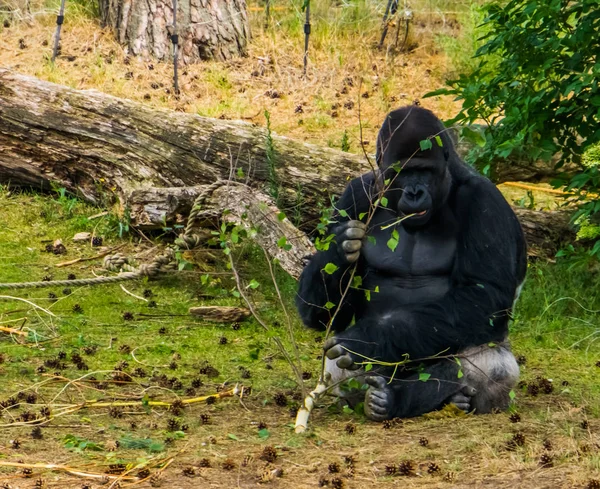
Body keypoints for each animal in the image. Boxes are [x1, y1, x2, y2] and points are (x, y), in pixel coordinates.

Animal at [298, 106, 528, 420]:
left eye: (425, 171)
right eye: (402, 173)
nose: (415, 192)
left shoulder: (485, 201)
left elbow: (484, 295)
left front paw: (368, 340)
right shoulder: (355, 194)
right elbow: (326, 314)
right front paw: (338, 247)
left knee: (492, 364)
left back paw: (405, 398)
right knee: (337, 369)